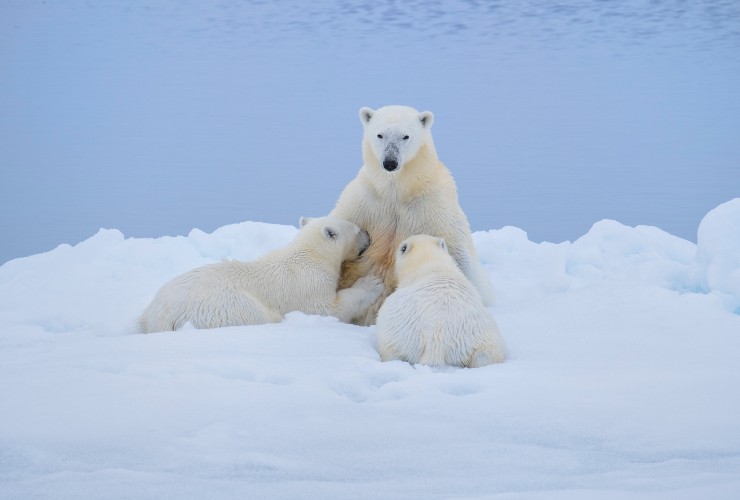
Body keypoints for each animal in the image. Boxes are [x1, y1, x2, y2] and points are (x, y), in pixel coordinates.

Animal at [139, 217, 384, 334]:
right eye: (357, 229)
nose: (369, 235)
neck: (310, 254)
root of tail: (158, 316)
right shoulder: (308, 282)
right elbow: (328, 309)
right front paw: (372, 283)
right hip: (221, 306)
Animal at [330, 105, 494, 324]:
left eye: (405, 136)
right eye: (380, 134)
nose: (390, 162)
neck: (397, 191)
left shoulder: (434, 204)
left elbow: (458, 251)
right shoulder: (363, 200)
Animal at [378, 234, 506, 368]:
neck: (431, 263)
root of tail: (436, 341)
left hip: (399, 331)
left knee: (390, 350)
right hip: (479, 340)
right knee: (486, 355)